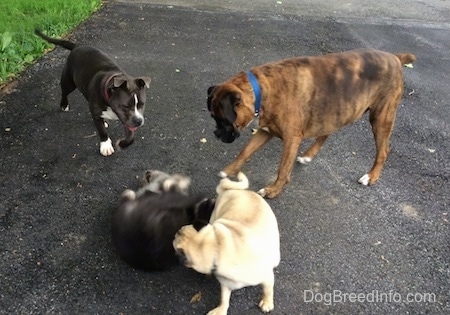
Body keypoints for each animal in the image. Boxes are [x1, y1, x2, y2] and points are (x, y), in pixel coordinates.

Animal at [207, 48, 414, 198]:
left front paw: (273, 190)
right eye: (213, 118)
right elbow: (245, 152)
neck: (262, 90)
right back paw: (309, 155)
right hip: (336, 110)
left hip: (381, 118)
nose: (216, 133)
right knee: (327, 132)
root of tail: (395, 58)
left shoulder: (291, 139)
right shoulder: (266, 131)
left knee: (383, 151)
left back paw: (371, 176)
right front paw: (229, 170)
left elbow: (283, 168)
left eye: (223, 120)